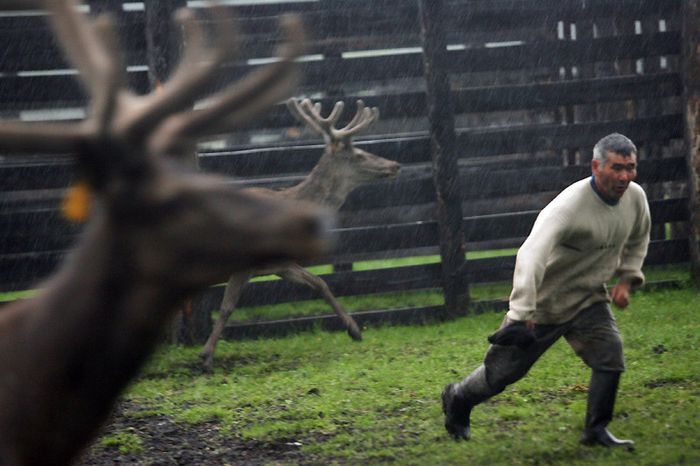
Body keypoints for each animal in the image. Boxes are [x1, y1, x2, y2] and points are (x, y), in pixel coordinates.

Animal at [200, 97, 402, 372]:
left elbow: (320, 283)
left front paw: (355, 330)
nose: (395, 165)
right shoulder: (243, 264)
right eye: (359, 154)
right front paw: (206, 357)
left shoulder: (281, 264)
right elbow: (226, 308)